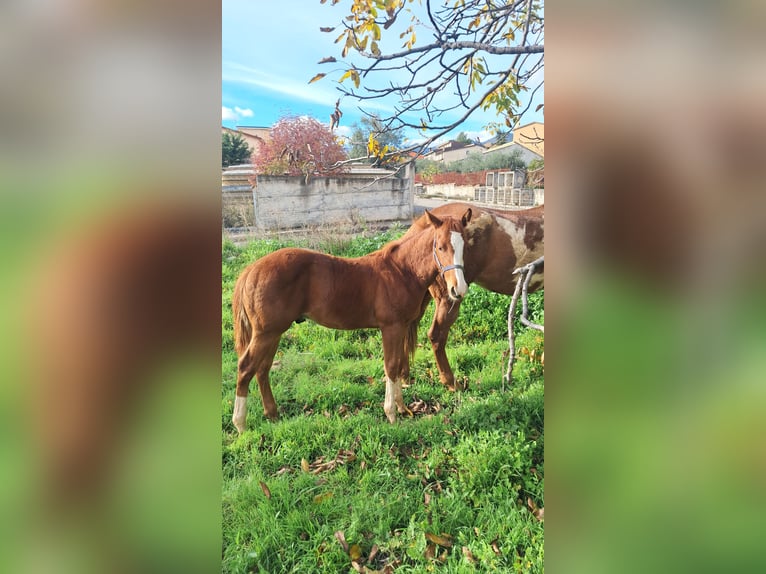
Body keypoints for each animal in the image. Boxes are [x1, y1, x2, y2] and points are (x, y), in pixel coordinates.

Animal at [231, 208, 473, 432]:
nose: (458, 289)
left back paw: (272, 414)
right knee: (246, 367)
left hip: (273, 333)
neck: (402, 271)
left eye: (465, 246)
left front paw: (402, 408)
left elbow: (397, 364)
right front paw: (391, 414)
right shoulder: (391, 327)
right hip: (266, 333)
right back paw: (241, 425)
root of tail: (251, 269)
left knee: (262, 368)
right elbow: (391, 366)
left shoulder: (401, 327)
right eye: (440, 247)